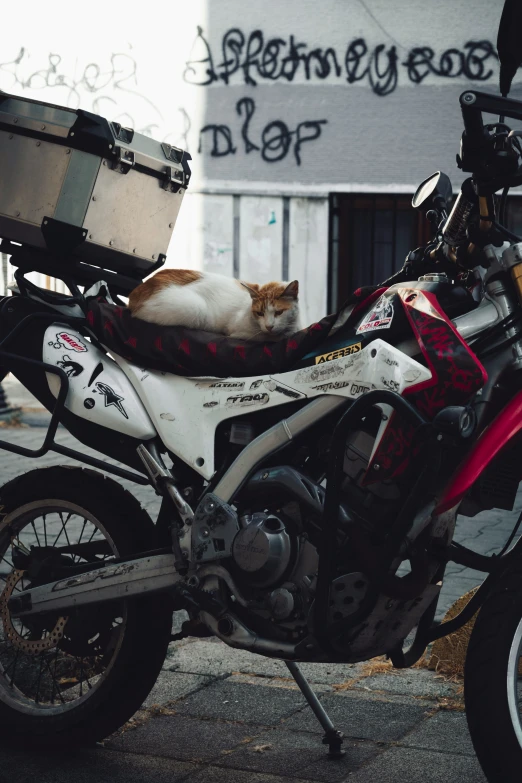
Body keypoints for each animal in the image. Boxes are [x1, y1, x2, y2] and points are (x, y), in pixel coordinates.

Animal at [127, 272, 300, 342]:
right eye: (260, 313)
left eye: (279, 312)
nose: (269, 326)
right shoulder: (238, 331)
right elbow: (270, 337)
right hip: (196, 309)